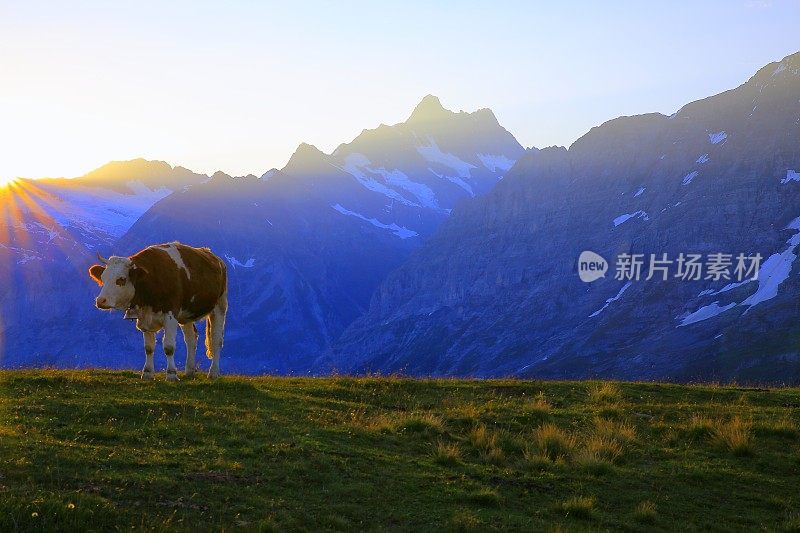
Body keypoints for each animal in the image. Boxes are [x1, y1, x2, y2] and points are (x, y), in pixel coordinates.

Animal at [88, 241, 228, 378]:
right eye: (103, 278)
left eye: (121, 279)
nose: (100, 301)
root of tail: (215, 258)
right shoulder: (144, 317)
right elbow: (149, 347)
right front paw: (147, 373)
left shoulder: (171, 315)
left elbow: (169, 347)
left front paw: (171, 374)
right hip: (187, 314)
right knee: (191, 338)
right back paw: (189, 371)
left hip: (220, 306)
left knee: (216, 340)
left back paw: (213, 372)